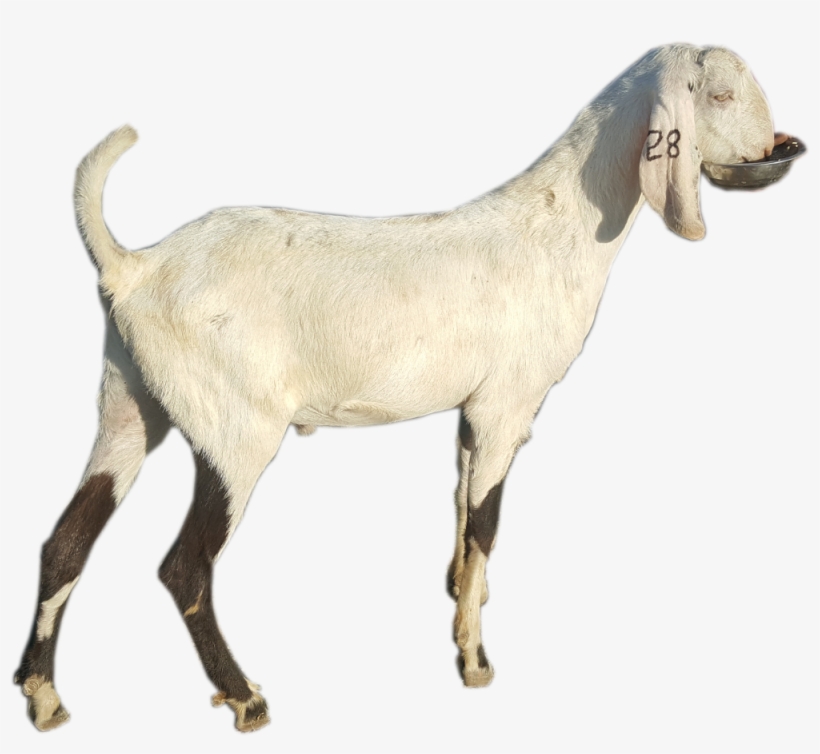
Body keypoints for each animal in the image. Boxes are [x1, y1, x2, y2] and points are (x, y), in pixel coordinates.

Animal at [15, 44, 787, 732]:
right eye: (719, 94)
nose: (773, 146)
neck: (558, 224)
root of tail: (133, 268)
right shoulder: (506, 404)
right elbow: (486, 522)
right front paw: (475, 661)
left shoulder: (474, 412)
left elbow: (461, 502)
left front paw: (462, 604)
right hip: (234, 430)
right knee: (184, 567)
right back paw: (245, 698)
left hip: (128, 404)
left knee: (65, 542)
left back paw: (42, 696)